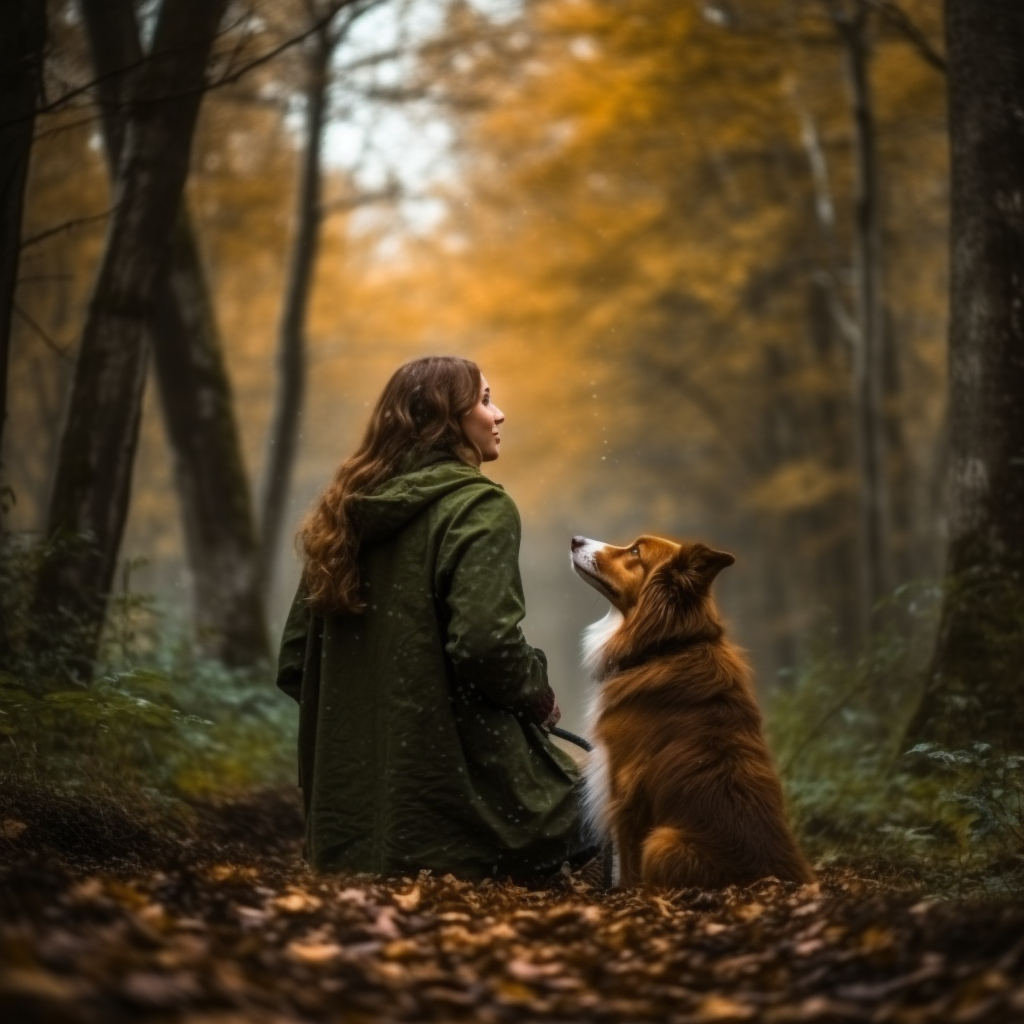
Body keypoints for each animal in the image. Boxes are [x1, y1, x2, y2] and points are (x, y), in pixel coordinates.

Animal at [573, 536, 811, 888]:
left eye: (635, 552)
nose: (575, 540)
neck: (665, 647)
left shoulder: (623, 782)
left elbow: (627, 859)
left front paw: (624, 891)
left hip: (662, 841)